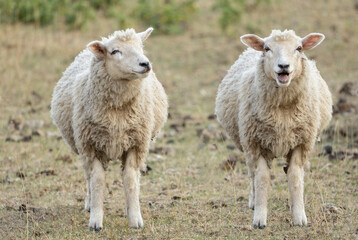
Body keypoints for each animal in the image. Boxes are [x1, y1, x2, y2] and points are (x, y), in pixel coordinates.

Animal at [50, 27, 169, 232]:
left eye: (140, 47)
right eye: (115, 51)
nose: (145, 64)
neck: (117, 114)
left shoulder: (136, 144)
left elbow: (130, 180)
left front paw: (135, 218)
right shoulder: (91, 145)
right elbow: (97, 181)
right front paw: (96, 221)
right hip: (82, 146)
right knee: (88, 177)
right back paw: (89, 204)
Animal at [214, 29, 332, 229]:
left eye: (299, 48)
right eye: (267, 48)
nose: (283, 66)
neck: (282, 110)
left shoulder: (301, 143)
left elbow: (295, 177)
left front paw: (299, 216)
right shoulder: (255, 143)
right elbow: (261, 179)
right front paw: (259, 219)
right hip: (246, 143)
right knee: (252, 174)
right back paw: (254, 202)